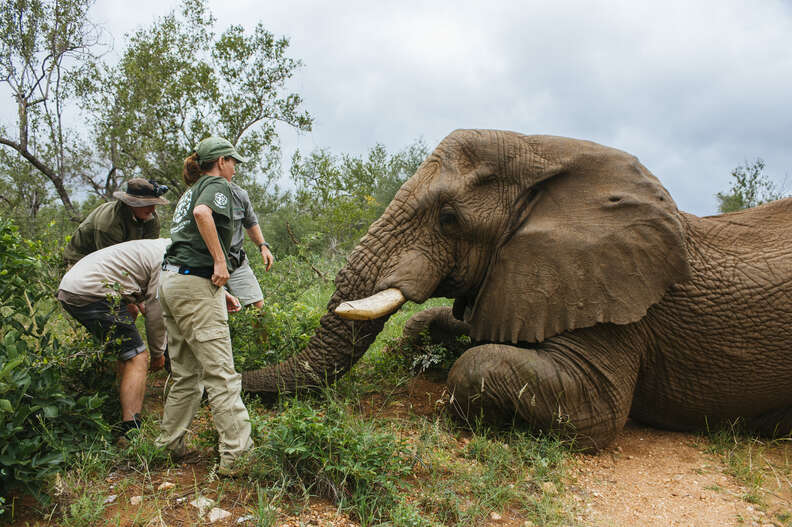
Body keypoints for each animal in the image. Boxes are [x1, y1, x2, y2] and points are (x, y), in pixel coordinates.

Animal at [241, 129, 792, 451]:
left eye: (449, 219)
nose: (238, 382)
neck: (543, 151)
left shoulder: (615, 298)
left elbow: (592, 408)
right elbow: (445, 325)